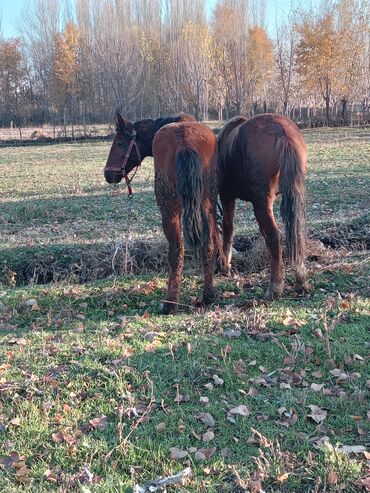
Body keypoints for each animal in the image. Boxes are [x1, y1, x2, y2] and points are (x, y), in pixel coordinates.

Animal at [217, 114, 310, 300]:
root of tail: (282, 131)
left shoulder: (226, 196)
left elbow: (228, 228)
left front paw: (226, 265)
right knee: (295, 233)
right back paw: (301, 280)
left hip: (261, 202)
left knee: (274, 236)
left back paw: (274, 287)